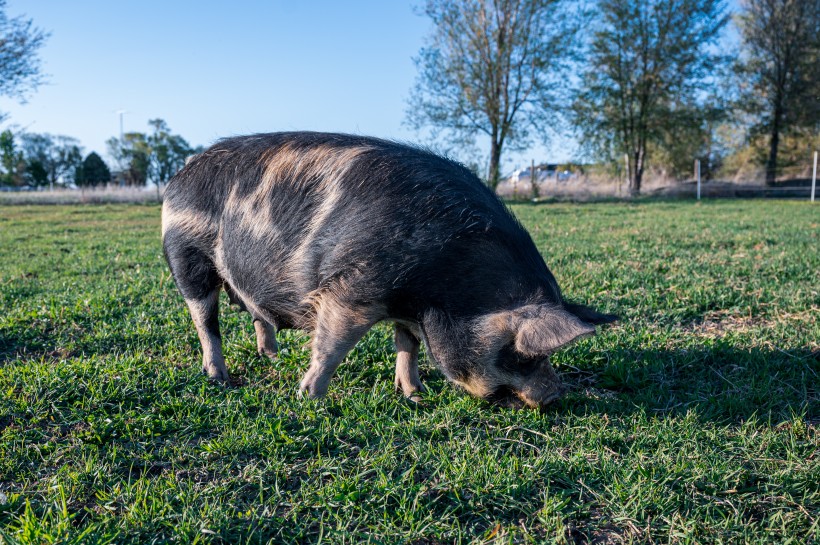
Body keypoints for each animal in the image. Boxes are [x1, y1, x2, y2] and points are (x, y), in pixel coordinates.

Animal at [162, 133, 616, 408]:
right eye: (519, 353)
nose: (556, 394)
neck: (441, 293)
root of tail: (180, 173)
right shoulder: (352, 289)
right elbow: (332, 347)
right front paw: (311, 399)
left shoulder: (406, 307)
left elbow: (407, 345)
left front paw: (414, 395)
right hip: (186, 256)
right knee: (205, 321)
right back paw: (219, 378)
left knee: (257, 316)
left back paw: (272, 356)